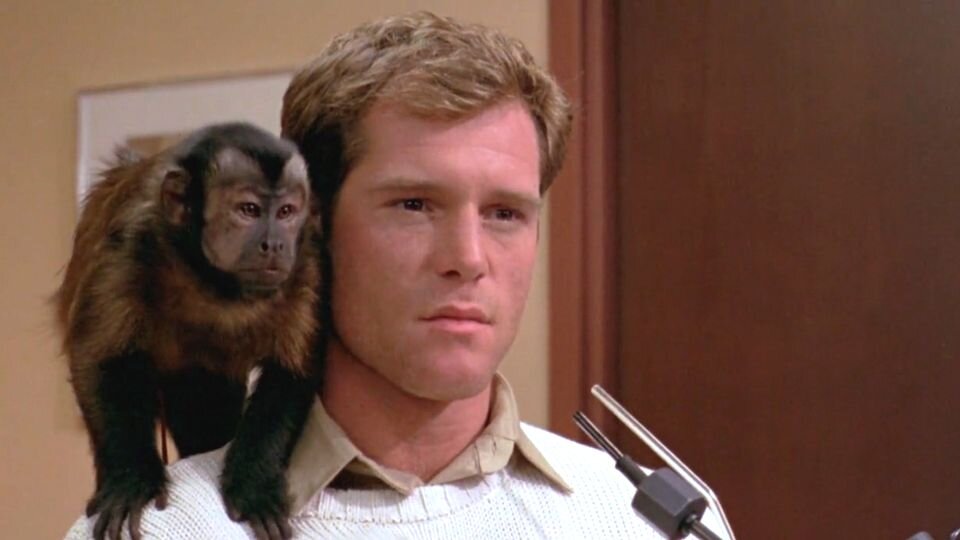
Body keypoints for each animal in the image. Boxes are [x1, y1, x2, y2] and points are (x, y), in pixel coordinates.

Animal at [55, 122, 321, 540]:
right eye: (249, 210)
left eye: (286, 212)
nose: (276, 243)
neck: (212, 282)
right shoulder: (130, 242)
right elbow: (100, 358)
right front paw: (131, 481)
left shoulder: (305, 258)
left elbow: (291, 372)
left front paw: (254, 486)